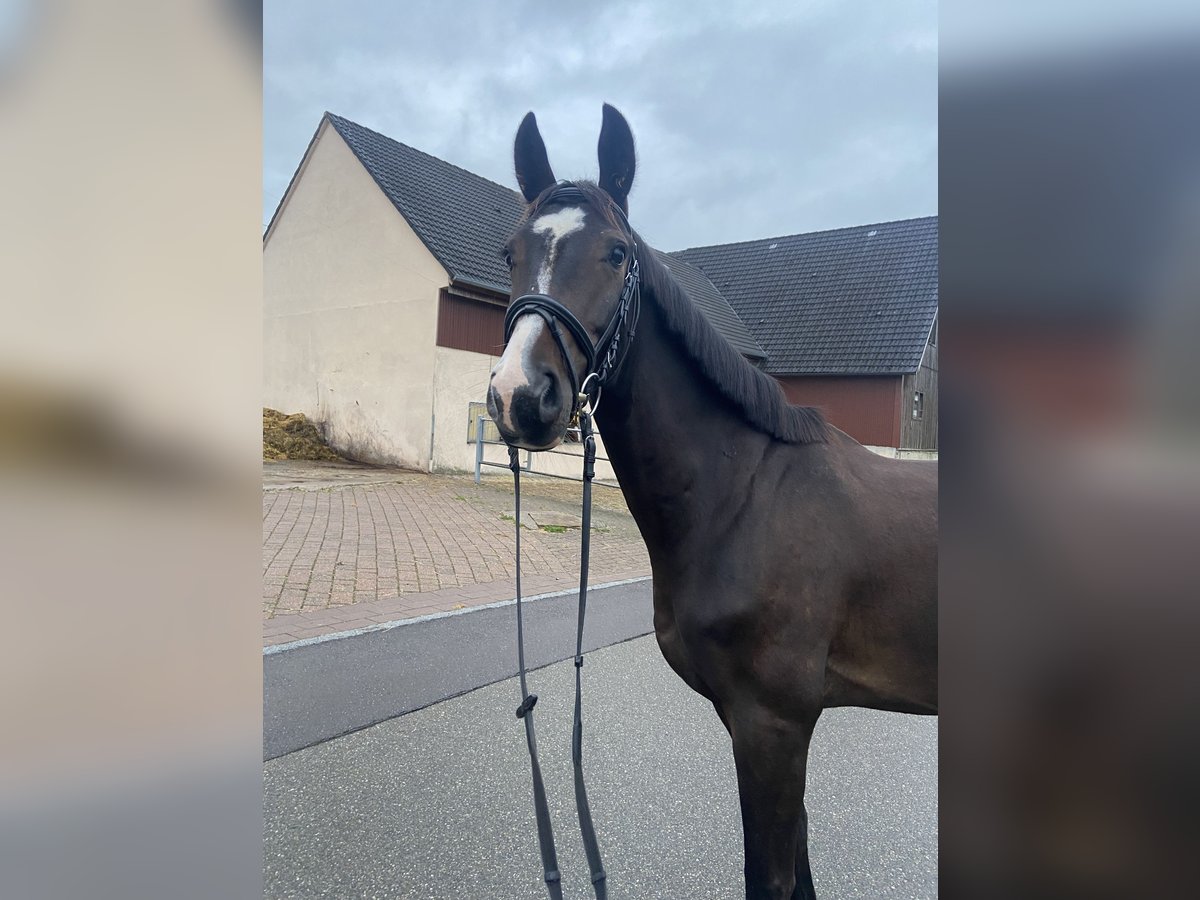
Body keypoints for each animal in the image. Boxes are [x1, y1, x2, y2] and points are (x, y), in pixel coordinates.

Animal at [487, 103, 936, 900]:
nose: (521, 397)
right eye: (512, 252)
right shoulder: (757, 725)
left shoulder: (773, 725)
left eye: (616, 254)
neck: (745, 500)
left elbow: (773, 880)